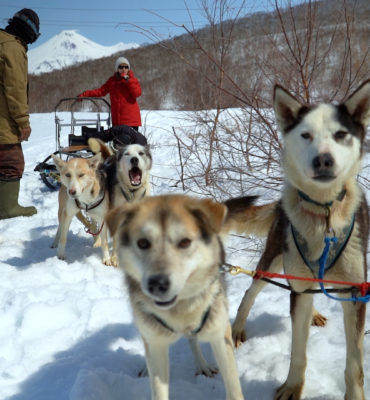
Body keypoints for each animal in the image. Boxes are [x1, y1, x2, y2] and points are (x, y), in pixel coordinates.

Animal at [106, 195, 246, 400]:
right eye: (143, 243)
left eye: (185, 242)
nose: (157, 283)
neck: (180, 310)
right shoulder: (155, 343)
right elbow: (158, 386)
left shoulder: (220, 335)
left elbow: (234, 388)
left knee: (192, 340)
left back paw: (202, 364)